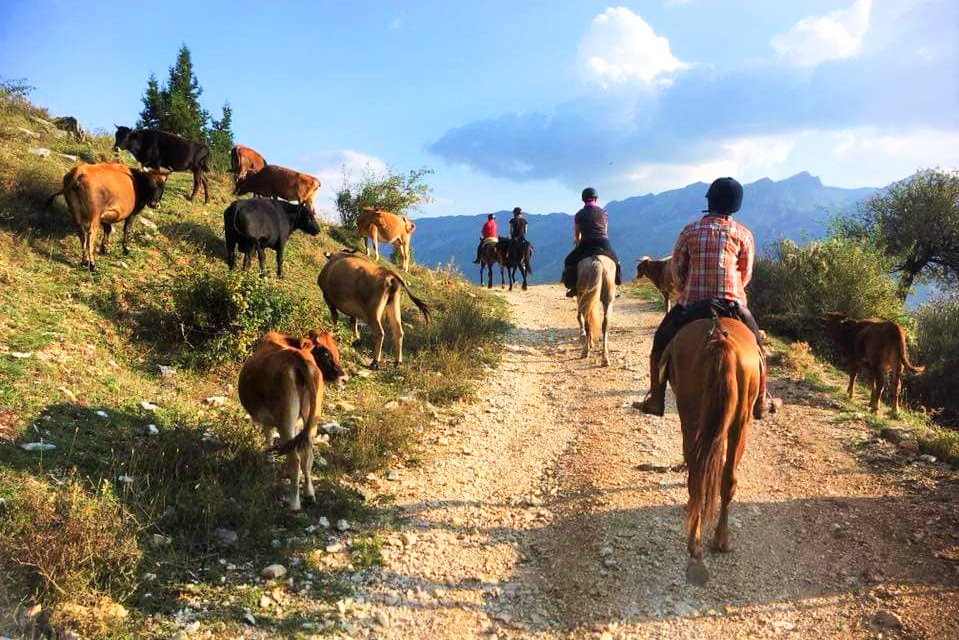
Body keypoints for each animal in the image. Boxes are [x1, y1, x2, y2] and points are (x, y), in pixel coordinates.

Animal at [238, 330, 346, 510]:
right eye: (326, 353)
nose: (344, 378)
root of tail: (298, 358)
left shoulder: (270, 419)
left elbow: (268, 437)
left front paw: (269, 460)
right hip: (312, 420)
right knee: (307, 453)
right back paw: (309, 495)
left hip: (286, 421)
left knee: (294, 459)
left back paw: (294, 502)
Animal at [660, 316, 756, 584]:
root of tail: (719, 337)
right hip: (738, 422)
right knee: (726, 478)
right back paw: (719, 540)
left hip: (692, 415)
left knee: (698, 475)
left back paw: (696, 542)